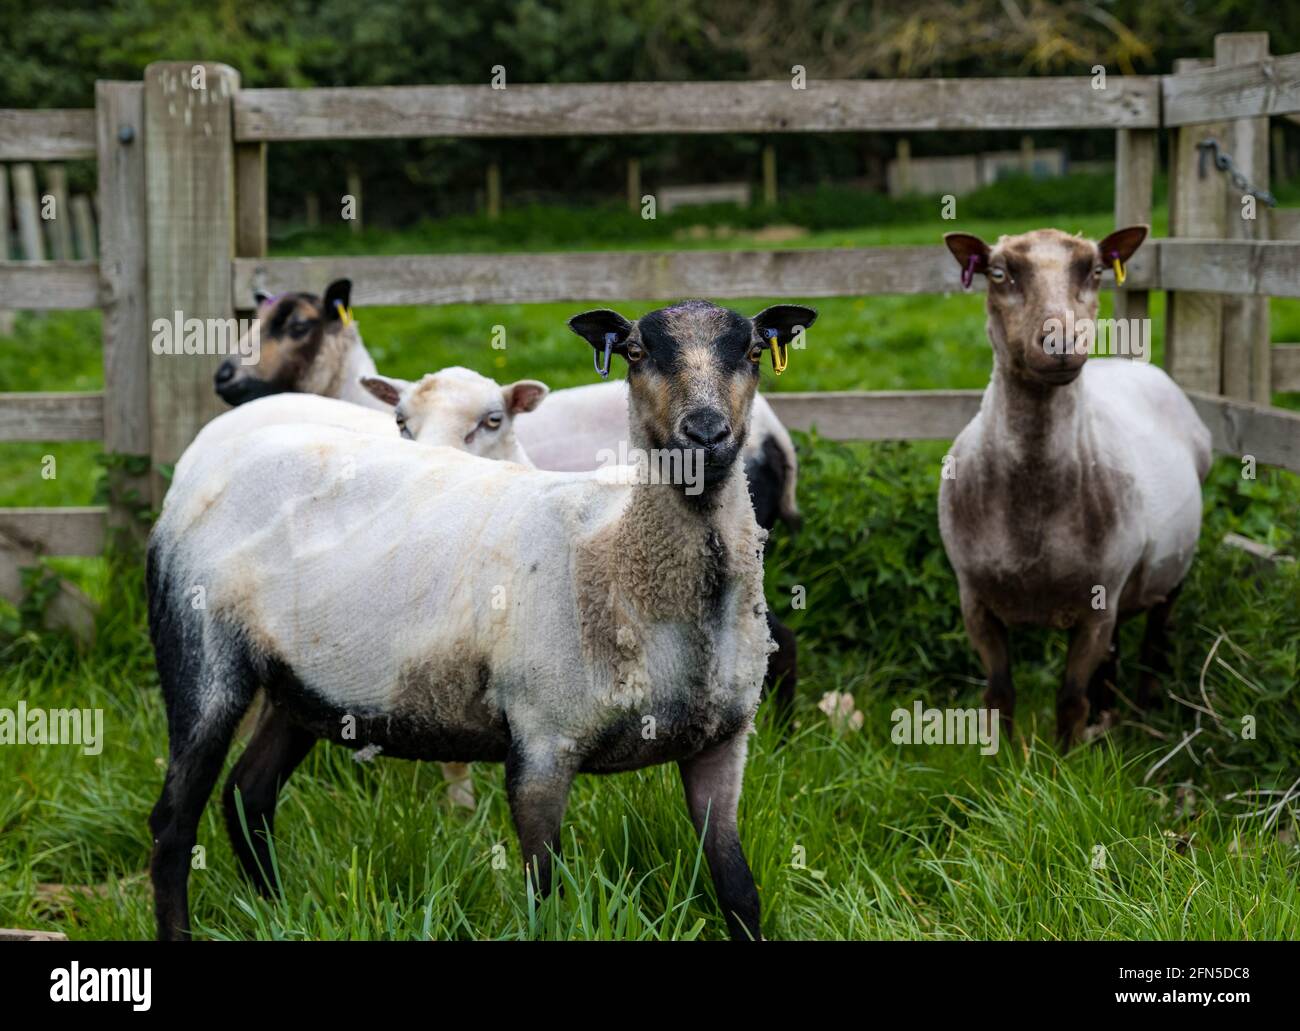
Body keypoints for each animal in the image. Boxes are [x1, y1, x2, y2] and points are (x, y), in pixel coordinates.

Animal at [939, 225, 1211, 747]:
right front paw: (1001, 763)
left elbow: (1068, 701)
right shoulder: (974, 602)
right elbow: (999, 696)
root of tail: (1130, 363)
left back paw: (1141, 711)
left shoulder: (1095, 609)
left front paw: (1065, 761)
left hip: (1170, 574)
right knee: (1117, 654)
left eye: (1096, 270)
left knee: (1154, 640)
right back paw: (1108, 716)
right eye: (999, 273)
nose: (1061, 342)